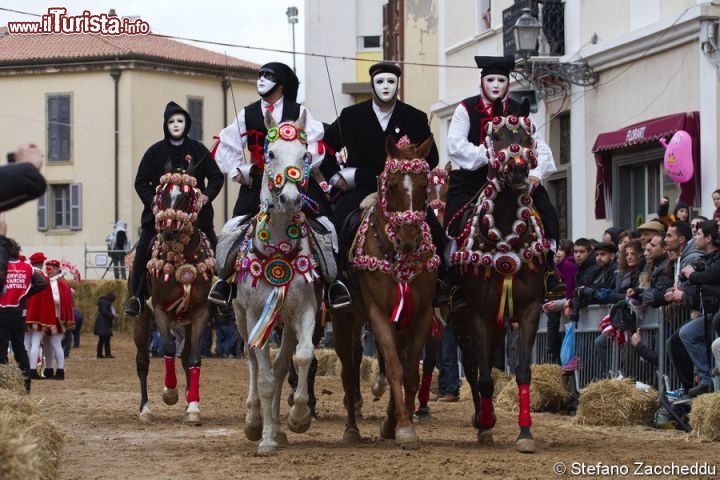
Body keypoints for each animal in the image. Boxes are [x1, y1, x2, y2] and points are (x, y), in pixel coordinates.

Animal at [131, 169, 214, 424]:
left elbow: (194, 359)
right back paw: (145, 409)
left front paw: (193, 407)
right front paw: (170, 392)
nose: (168, 232)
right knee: (142, 362)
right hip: (141, 320)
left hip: (185, 321)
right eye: (162, 195)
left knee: (185, 358)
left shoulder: (200, 313)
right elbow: (167, 349)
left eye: (187, 198)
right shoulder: (160, 310)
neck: (183, 257)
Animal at [231, 110, 320, 456]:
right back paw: (255, 421)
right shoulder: (256, 316)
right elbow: (266, 378)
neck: (278, 250)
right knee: (252, 363)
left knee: (283, 366)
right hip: (241, 319)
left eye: (305, 155)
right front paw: (265, 438)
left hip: (286, 323)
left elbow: (302, 357)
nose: (290, 198)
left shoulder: (305, 311)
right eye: (270, 154)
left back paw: (280, 427)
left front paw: (298, 417)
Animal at [332, 135, 438, 446]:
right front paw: (403, 425)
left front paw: (396, 423)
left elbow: (410, 373)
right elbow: (393, 367)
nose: (408, 239)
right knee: (348, 369)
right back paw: (351, 429)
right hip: (343, 318)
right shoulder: (378, 313)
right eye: (390, 185)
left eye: (424, 185)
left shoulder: (420, 315)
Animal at [452, 99, 548, 452]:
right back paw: (482, 419)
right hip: (458, 315)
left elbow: (521, 372)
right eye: (496, 136)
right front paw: (486, 424)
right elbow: (482, 376)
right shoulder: (477, 313)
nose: (519, 169)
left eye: (527, 135)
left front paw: (525, 433)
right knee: (472, 367)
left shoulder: (529, 309)